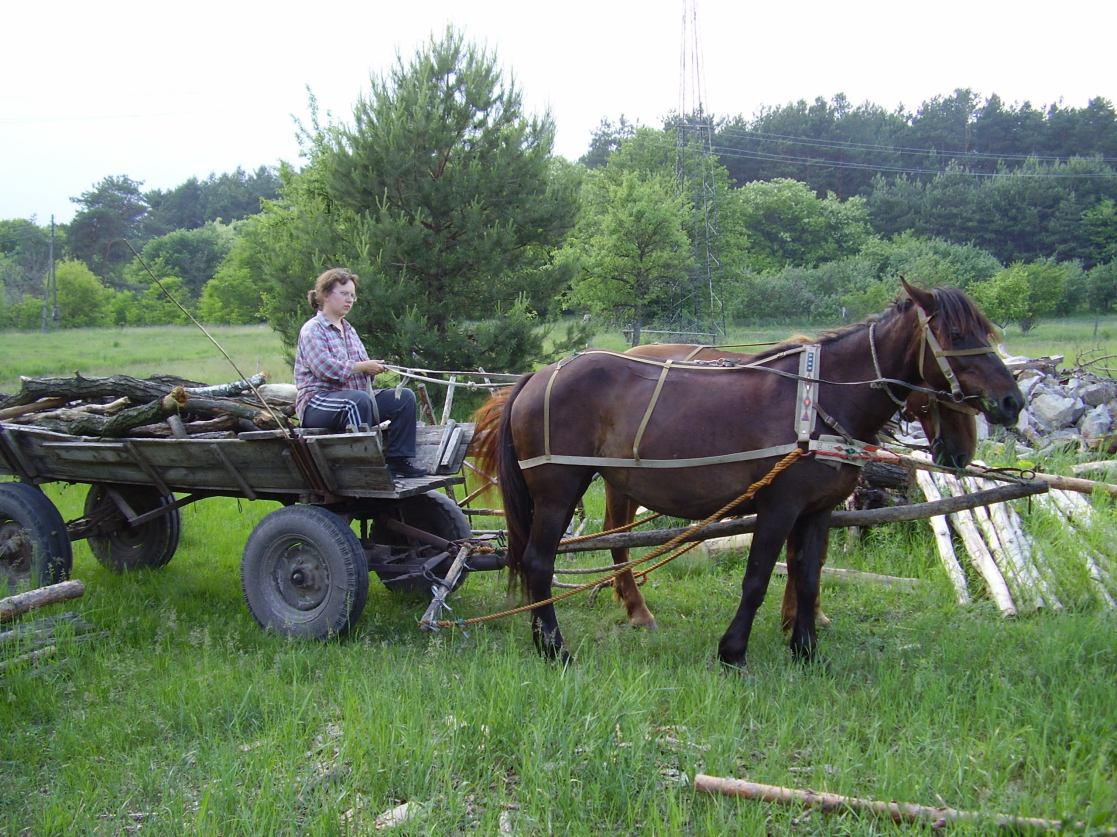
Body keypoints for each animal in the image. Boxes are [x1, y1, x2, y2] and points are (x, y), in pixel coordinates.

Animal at [473, 280, 1023, 666]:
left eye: (985, 331)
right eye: (956, 334)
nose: (1011, 402)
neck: (818, 399)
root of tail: (537, 376)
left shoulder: (817, 511)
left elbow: (807, 577)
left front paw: (807, 651)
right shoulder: (778, 506)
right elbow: (758, 577)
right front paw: (733, 651)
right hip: (559, 489)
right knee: (541, 562)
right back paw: (555, 648)